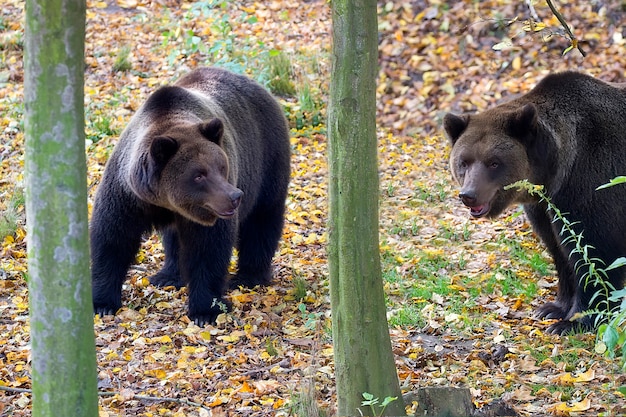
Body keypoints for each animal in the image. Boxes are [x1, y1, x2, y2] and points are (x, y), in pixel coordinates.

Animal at [91, 66, 292, 324]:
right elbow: (112, 238)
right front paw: (102, 303)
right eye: (199, 175)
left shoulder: (208, 213)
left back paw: (248, 277)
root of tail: (258, 86)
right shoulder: (127, 195)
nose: (234, 196)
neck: (165, 202)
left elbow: (208, 249)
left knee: (262, 219)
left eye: (222, 167)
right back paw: (169, 275)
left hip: (266, 156)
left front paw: (205, 310)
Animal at [442, 70, 624, 334]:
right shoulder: (544, 207)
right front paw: (552, 308)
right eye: (464, 162)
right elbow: (559, 249)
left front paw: (574, 321)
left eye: (493, 162)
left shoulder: (591, 186)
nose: (469, 195)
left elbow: (594, 252)